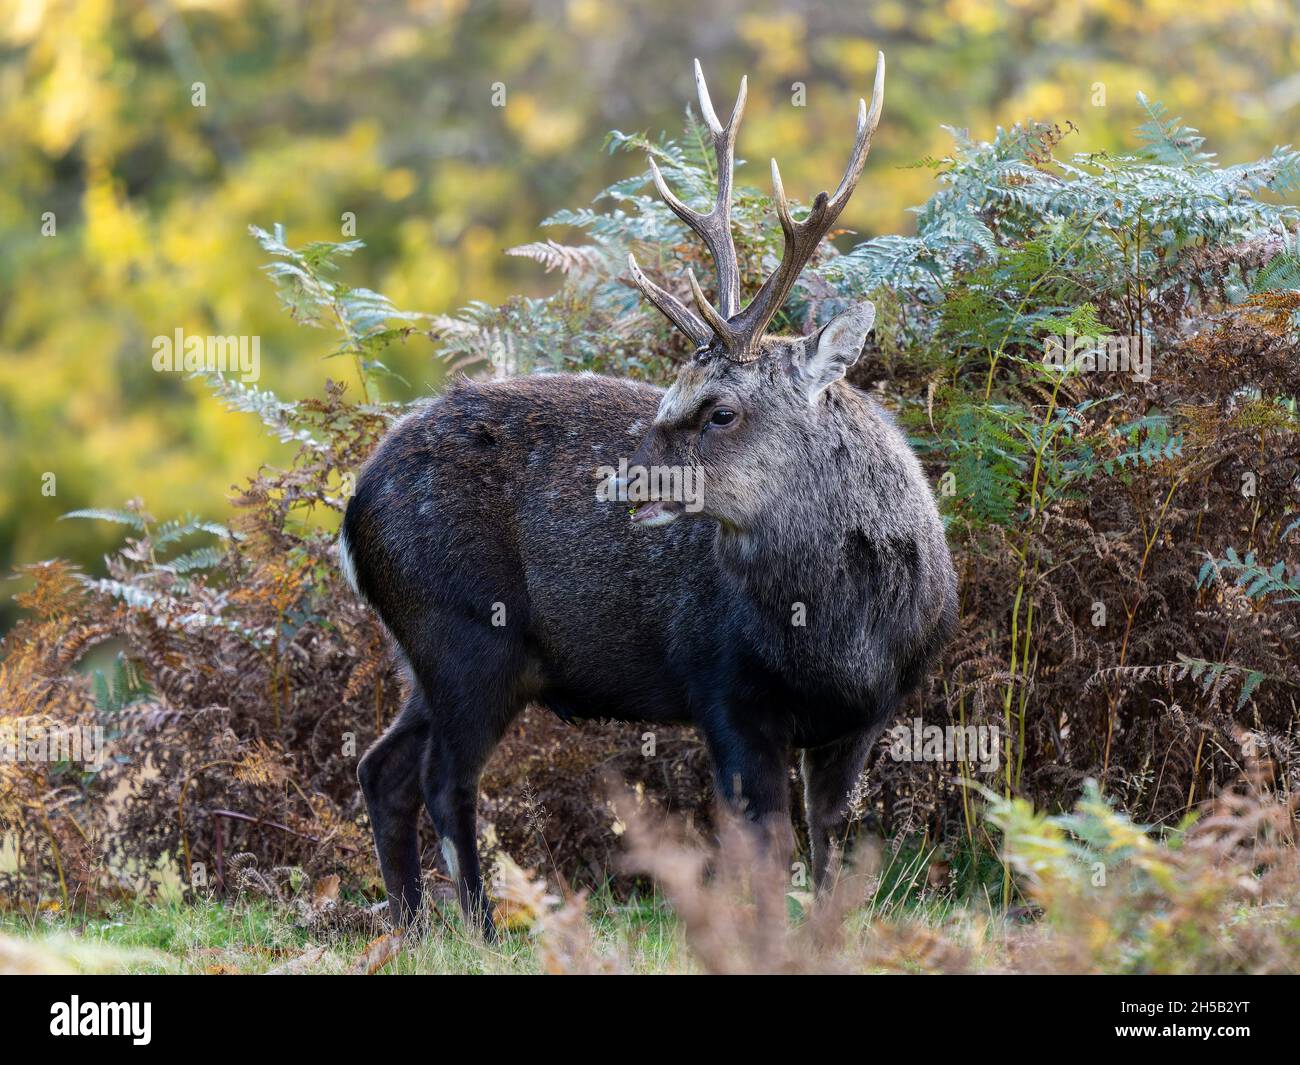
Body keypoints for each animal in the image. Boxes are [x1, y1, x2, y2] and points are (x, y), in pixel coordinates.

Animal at [340, 54, 961, 936]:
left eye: (719, 410)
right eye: (669, 392)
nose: (617, 478)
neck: (840, 636)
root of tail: (353, 511)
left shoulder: (872, 710)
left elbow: (830, 839)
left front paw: (823, 932)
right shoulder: (720, 683)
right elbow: (763, 840)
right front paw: (762, 935)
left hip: (426, 653)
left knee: (382, 766)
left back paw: (410, 923)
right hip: (460, 628)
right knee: (440, 779)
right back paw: (483, 929)